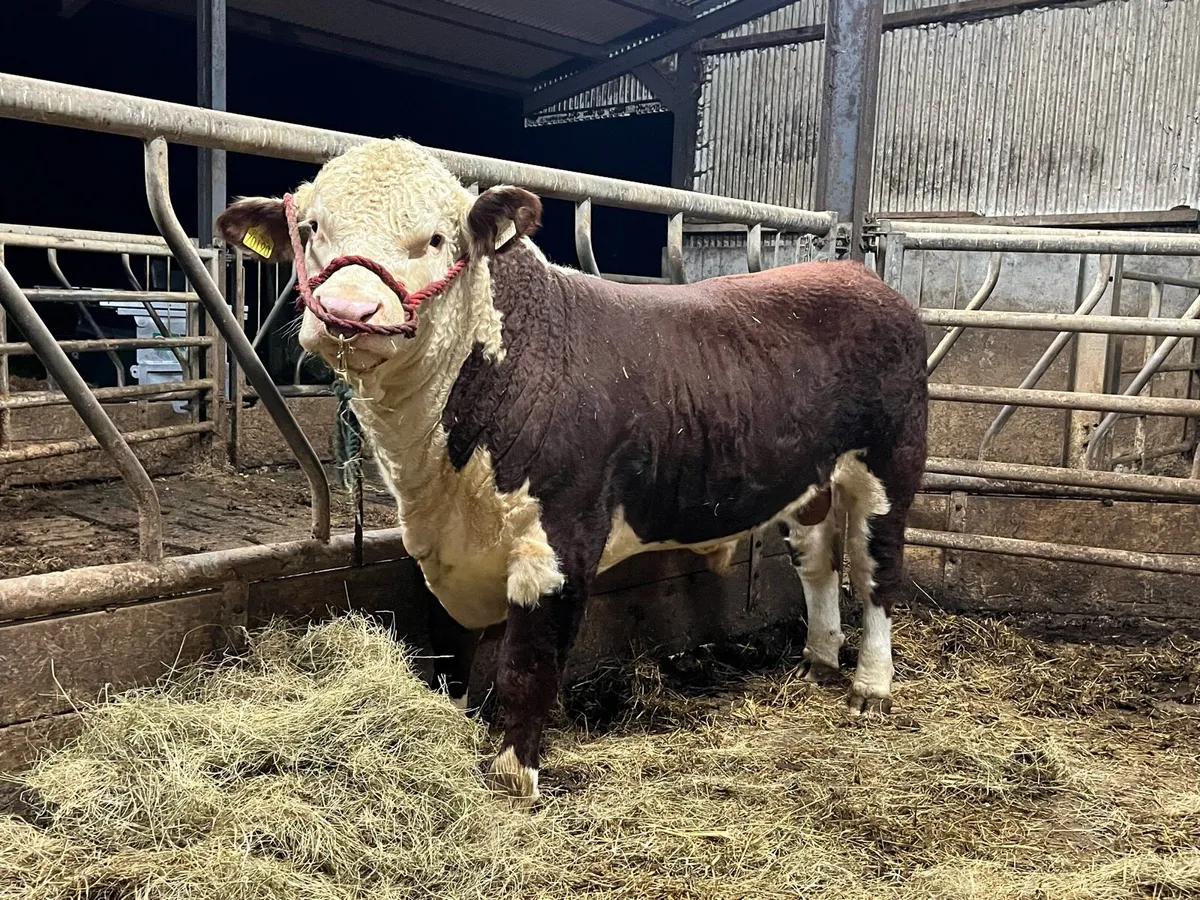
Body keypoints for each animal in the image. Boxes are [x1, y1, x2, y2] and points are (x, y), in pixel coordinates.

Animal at [216, 138, 928, 804]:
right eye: (312, 228)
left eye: (437, 239)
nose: (347, 313)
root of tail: (858, 274)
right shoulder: (442, 549)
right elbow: (449, 650)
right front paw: (449, 723)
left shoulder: (560, 538)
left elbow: (526, 666)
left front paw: (515, 774)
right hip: (808, 478)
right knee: (817, 560)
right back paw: (818, 659)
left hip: (891, 464)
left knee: (877, 570)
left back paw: (870, 687)